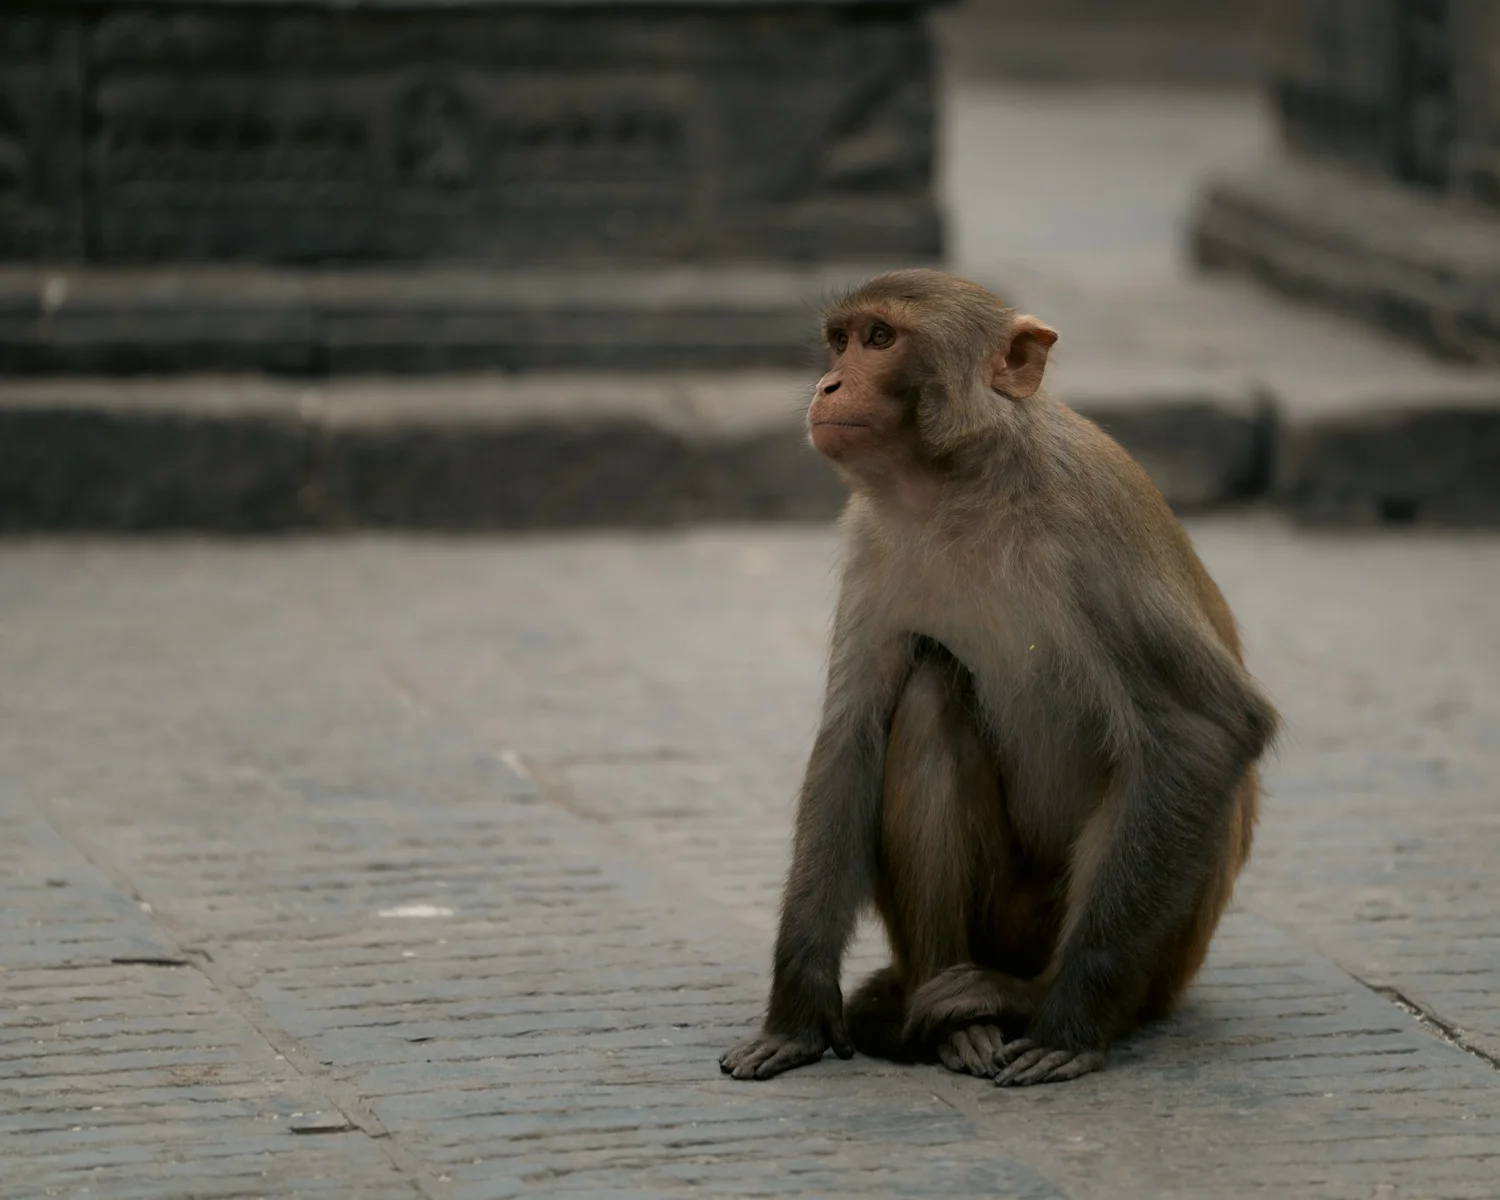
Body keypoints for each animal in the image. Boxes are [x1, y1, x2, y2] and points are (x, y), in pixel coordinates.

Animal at [719, 269, 1277, 1087]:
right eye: (840, 340)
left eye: (880, 339)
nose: (828, 385)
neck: (964, 491)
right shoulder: (873, 539)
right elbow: (851, 738)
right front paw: (798, 1012)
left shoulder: (1091, 532)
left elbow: (1205, 728)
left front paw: (1067, 1020)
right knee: (929, 692)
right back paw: (956, 1023)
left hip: (1158, 957)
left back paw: (1021, 998)